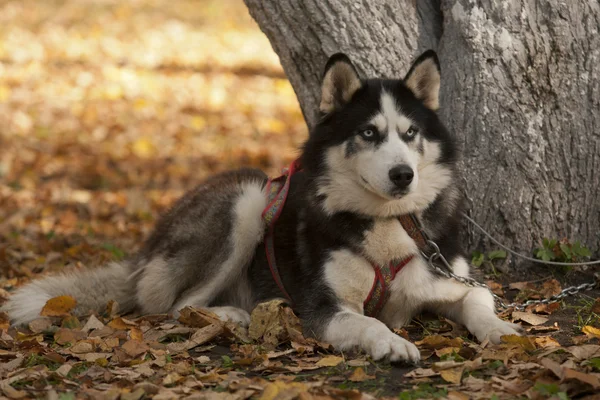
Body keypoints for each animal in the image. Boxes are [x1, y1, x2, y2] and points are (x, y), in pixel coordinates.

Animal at [3, 50, 520, 362]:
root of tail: (149, 245)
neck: (389, 225)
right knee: (170, 308)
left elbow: (480, 300)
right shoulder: (324, 308)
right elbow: (370, 323)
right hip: (248, 200)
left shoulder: (450, 278)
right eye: (368, 133)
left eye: (410, 133)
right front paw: (393, 343)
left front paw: (502, 331)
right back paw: (231, 315)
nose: (402, 175)